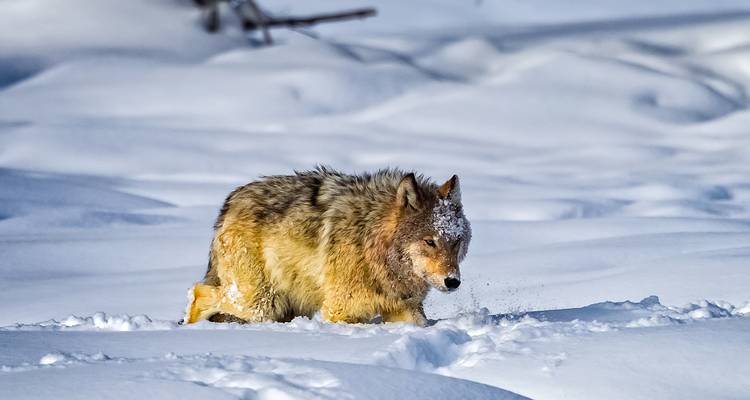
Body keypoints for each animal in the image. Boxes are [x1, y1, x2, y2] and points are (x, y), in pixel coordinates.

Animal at [184, 167, 471, 326]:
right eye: (430, 241)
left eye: (455, 242)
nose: (452, 281)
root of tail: (230, 201)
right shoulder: (341, 312)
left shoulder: (405, 310)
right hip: (260, 303)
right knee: (198, 291)